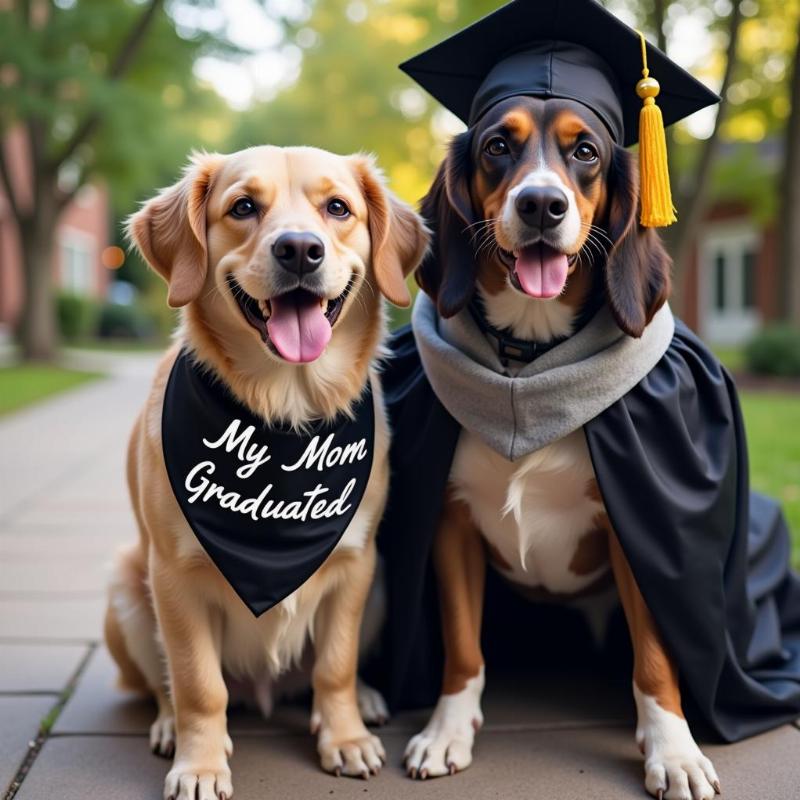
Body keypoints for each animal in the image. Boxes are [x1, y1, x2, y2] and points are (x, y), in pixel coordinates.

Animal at [105, 145, 428, 800]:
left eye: (338, 208)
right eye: (243, 207)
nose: (300, 249)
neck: (286, 412)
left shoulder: (355, 565)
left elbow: (335, 666)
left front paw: (345, 737)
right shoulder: (173, 578)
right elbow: (198, 684)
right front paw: (200, 765)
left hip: (381, 581)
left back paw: (366, 700)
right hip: (126, 586)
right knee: (164, 685)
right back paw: (168, 726)